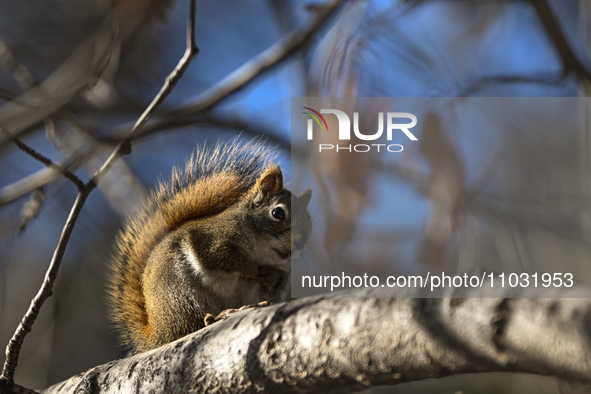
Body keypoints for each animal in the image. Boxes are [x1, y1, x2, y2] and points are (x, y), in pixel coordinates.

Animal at [106, 139, 312, 354]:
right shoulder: (212, 241)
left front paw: (272, 276)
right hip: (180, 296)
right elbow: (222, 258)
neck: (263, 252)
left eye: (309, 222)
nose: (299, 243)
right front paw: (253, 270)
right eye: (277, 213)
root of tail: (158, 335)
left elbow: (277, 284)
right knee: (190, 324)